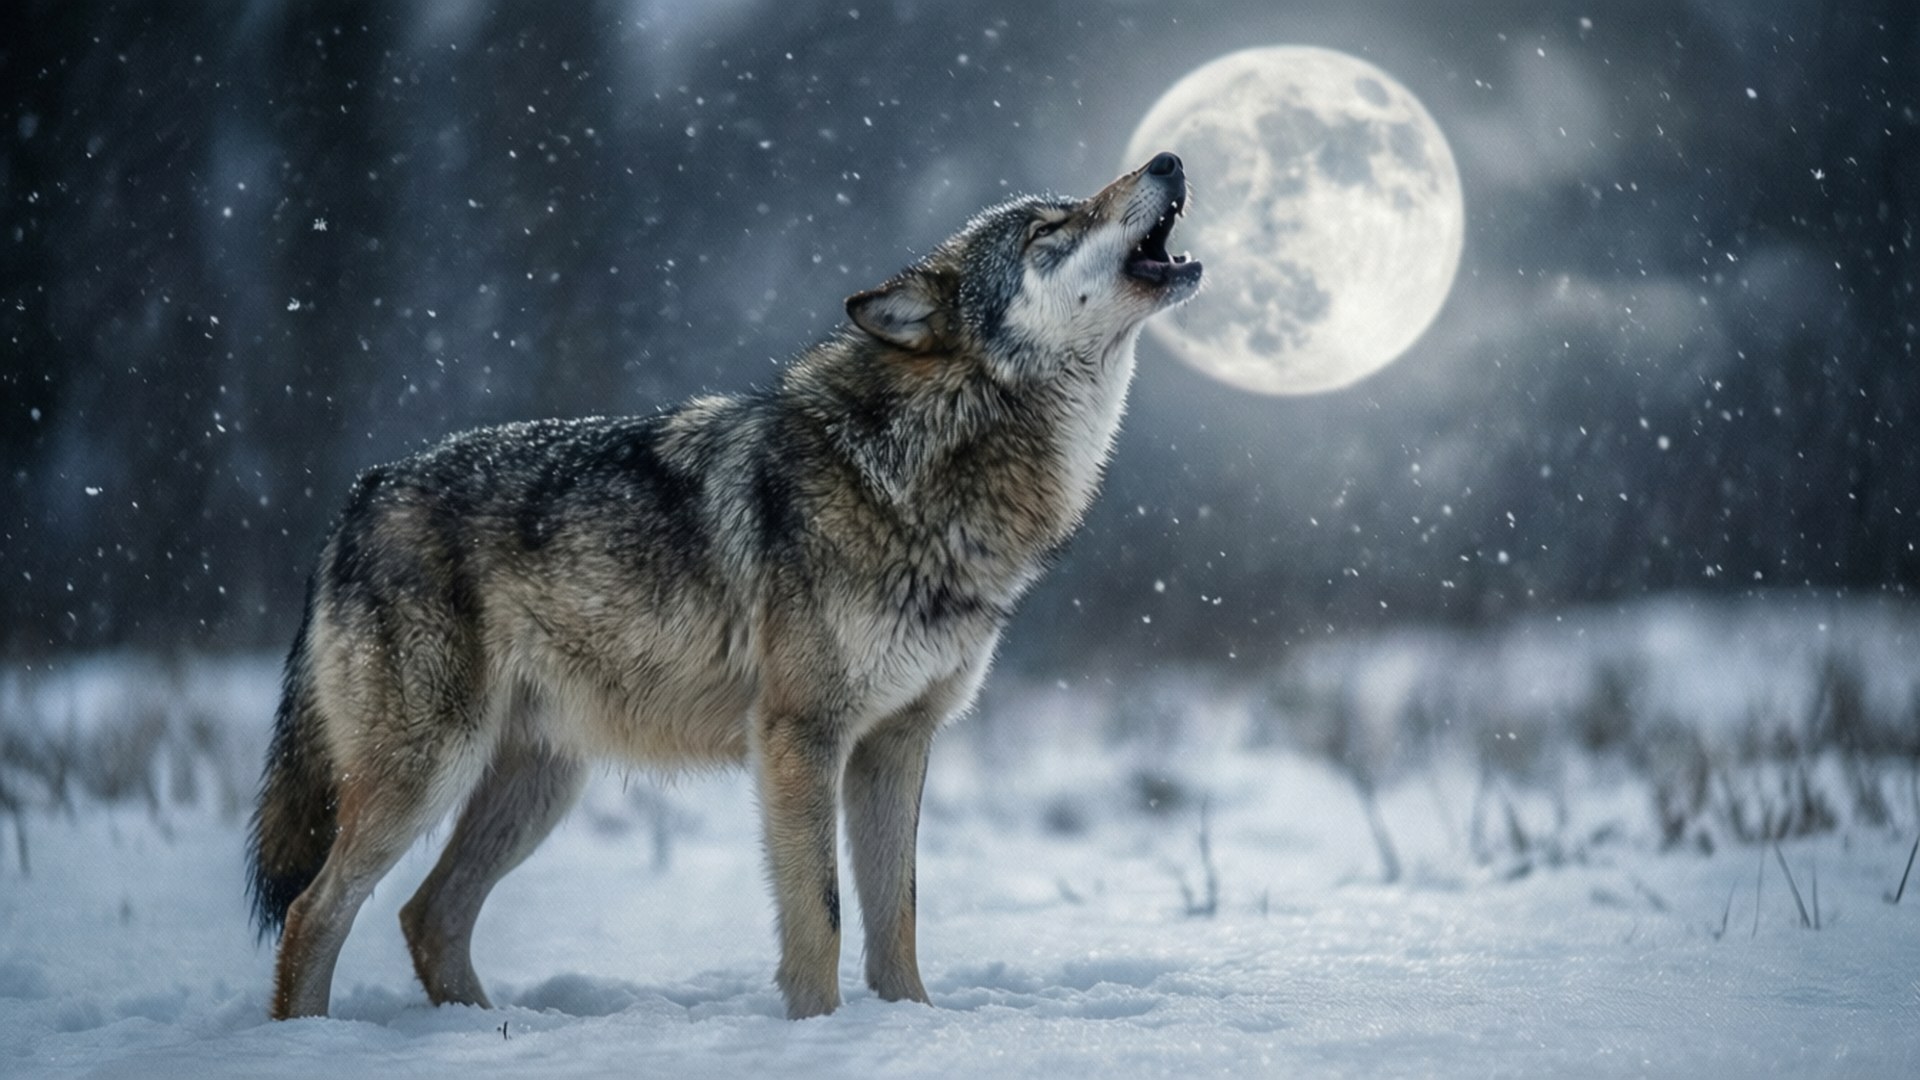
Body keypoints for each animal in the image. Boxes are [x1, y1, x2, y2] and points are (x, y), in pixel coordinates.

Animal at [247, 152, 1202, 1021]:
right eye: (1050, 229)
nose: (1168, 156)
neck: (918, 467)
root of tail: (362, 491)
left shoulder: (897, 743)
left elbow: (898, 918)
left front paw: (912, 1024)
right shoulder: (799, 737)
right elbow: (821, 917)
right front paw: (819, 1033)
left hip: (538, 786)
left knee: (427, 915)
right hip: (426, 772)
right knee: (312, 913)